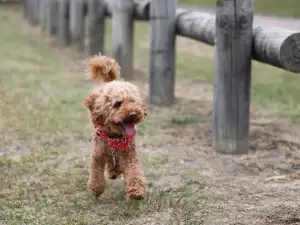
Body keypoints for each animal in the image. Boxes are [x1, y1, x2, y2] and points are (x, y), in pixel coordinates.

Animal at [84, 53, 147, 200]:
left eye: (133, 101)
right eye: (117, 104)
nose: (133, 114)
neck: (114, 137)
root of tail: (111, 83)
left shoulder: (129, 154)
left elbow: (134, 171)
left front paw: (136, 191)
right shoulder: (98, 154)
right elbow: (96, 172)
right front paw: (96, 189)